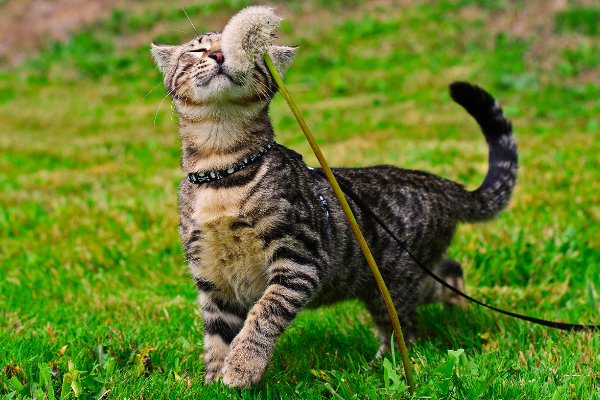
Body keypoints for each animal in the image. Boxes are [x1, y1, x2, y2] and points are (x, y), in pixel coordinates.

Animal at [151, 28, 517, 388]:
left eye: (241, 48)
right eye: (198, 50)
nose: (218, 54)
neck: (223, 174)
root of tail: (440, 183)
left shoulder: (300, 258)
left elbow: (264, 313)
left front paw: (243, 365)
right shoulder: (212, 278)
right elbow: (216, 338)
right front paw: (214, 380)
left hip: (391, 284)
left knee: (404, 328)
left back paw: (385, 363)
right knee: (449, 271)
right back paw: (458, 311)